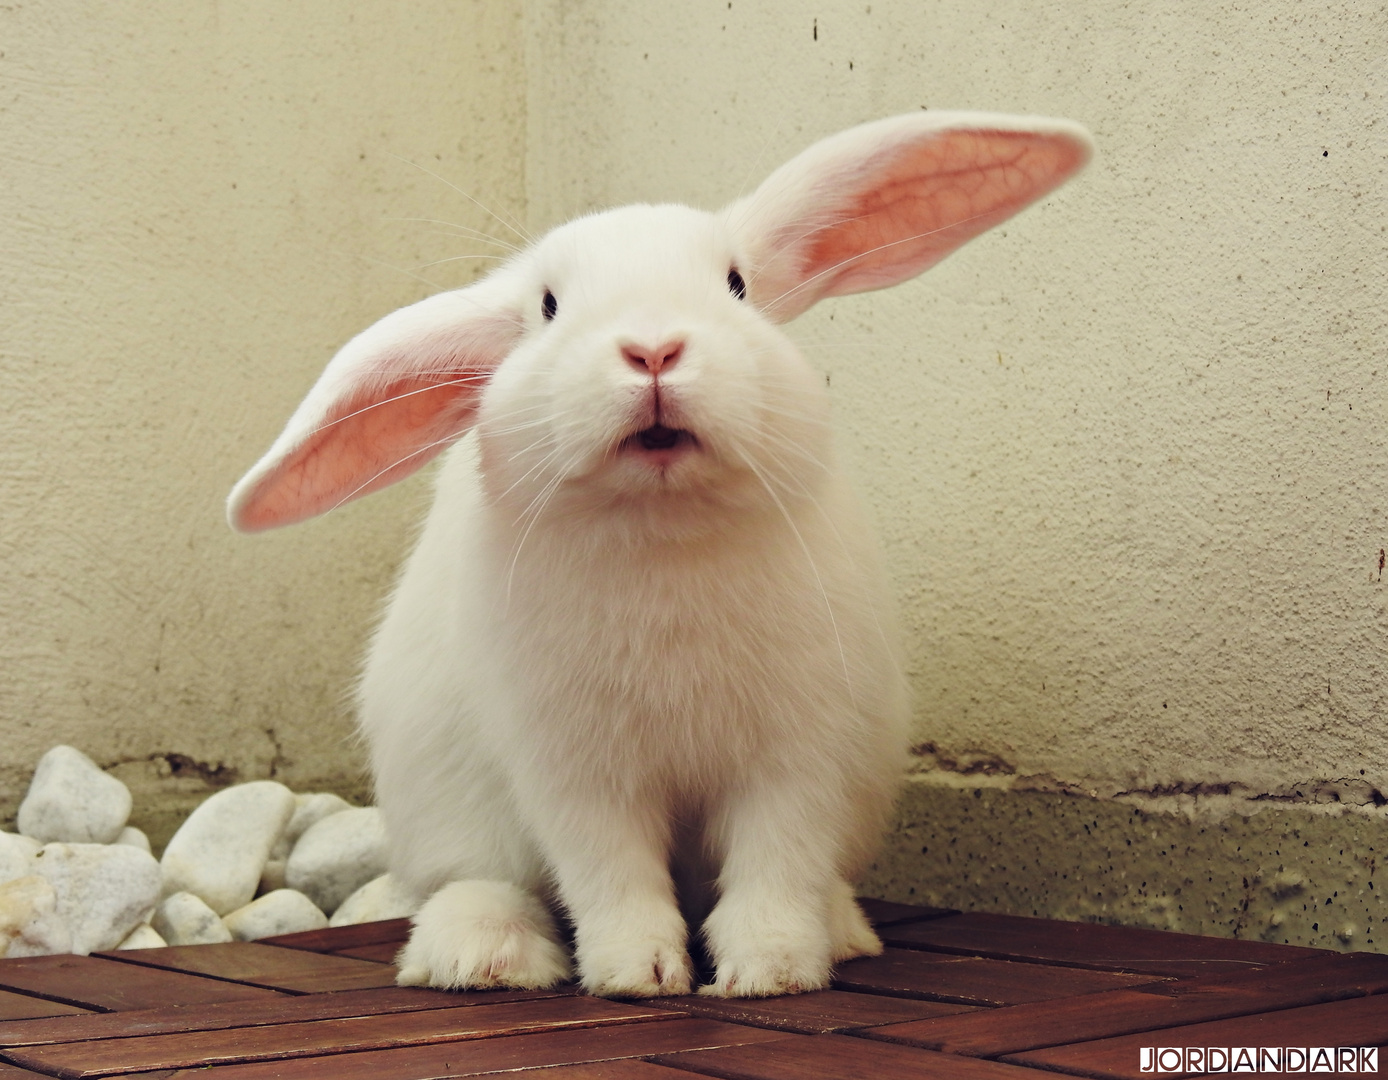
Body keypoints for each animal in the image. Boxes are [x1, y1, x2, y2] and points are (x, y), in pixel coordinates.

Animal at [230, 113, 1093, 999]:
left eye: (737, 284)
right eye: (548, 306)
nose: (652, 350)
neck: (664, 529)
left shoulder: (801, 758)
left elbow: (778, 867)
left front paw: (771, 972)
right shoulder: (577, 774)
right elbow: (612, 877)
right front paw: (636, 974)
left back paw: (844, 932)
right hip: (447, 806)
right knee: (476, 883)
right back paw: (487, 955)